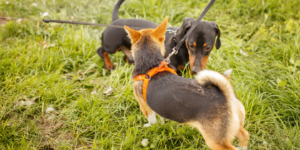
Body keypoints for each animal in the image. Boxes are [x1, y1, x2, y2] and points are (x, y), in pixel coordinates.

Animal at [124, 17, 248, 149]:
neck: (151, 63)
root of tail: (226, 96)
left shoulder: (144, 106)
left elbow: (152, 119)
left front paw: (151, 126)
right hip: (234, 126)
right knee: (244, 134)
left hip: (215, 141)